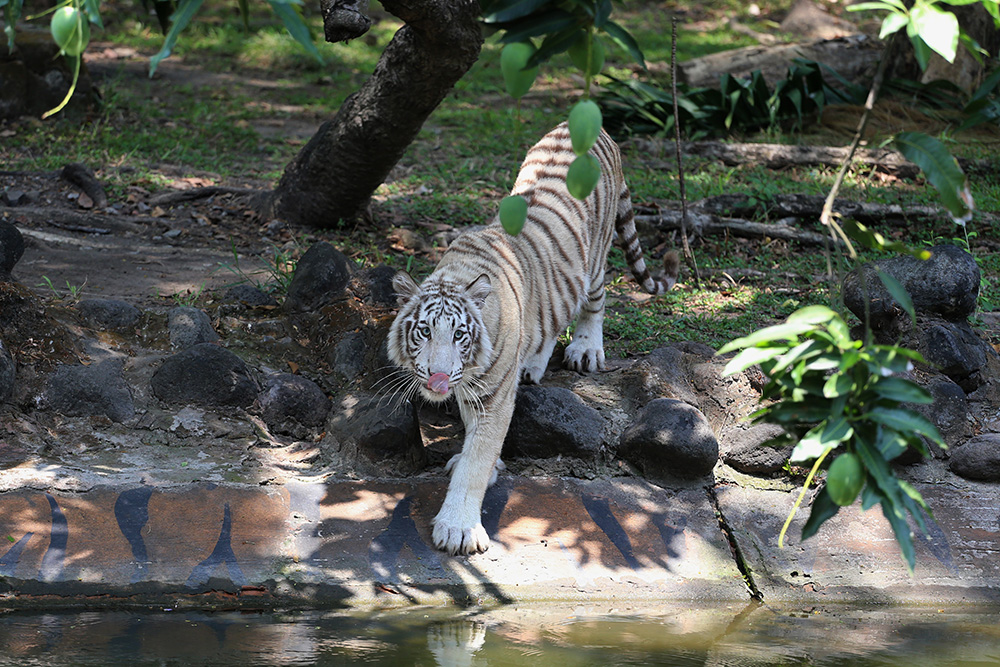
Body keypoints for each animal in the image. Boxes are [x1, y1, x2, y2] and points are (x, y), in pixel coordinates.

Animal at [386, 122, 676, 556]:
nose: (437, 377)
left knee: (595, 300)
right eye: (424, 331)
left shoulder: (492, 396)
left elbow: (477, 459)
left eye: (459, 334)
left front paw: (458, 529)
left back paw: (586, 350)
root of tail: (596, 129)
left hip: (594, 261)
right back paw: (534, 363)